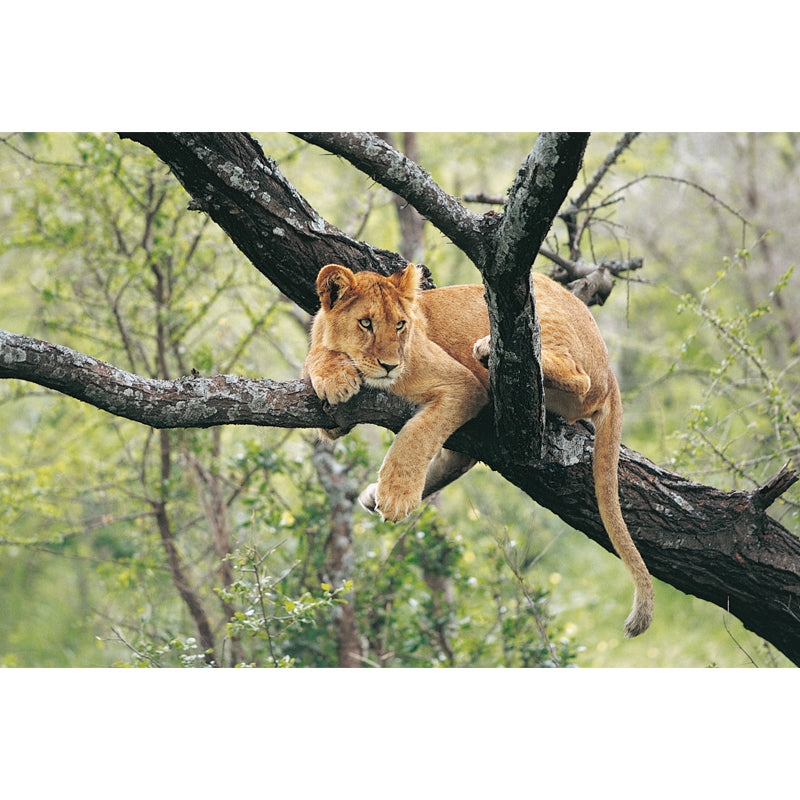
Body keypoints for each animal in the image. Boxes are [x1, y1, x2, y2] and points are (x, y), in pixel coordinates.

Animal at [302, 263, 654, 637]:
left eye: (400, 325)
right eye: (365, 323)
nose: (390, 365)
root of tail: (610, 370)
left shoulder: (462, 385)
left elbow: (417, 434)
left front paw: (396, 496)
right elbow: (316, 364)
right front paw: (334, 376)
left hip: (537, 311)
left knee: (577, 377)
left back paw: (487, 350)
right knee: (457, 459)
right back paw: (373, 495)